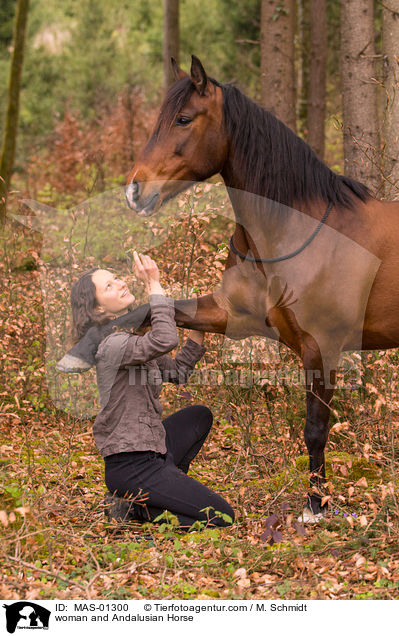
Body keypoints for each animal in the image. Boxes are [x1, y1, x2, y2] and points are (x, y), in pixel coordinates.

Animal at [61, 54, 398, 520]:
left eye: (184, 119)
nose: (134, 191)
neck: (296, 231)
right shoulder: (232, 315)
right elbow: (149, 312)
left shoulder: (323, 346)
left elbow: (315, 428)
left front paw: (316, 505)